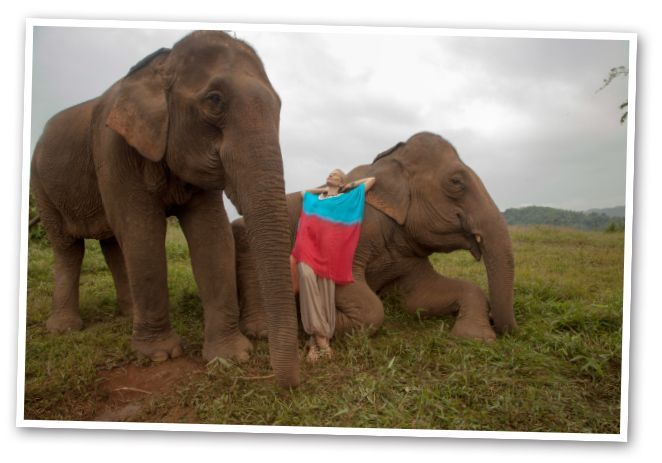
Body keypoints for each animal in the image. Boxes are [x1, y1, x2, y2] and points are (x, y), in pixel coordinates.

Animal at [30, 31, 300, 387]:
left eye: (279, 106)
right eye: (214, 100)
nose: (289, 384)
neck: (160, 65)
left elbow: (211, 235)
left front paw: (230, 357)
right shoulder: (113, 149)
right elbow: (142, 232)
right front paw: (160, 356)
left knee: (112, 244)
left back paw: (129, 316)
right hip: (41, 186)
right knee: (68, 248)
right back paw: (65, 329)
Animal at [232, 132, 516, 343]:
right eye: (456, 182)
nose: (497, 321)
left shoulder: (406, 251)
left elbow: (420, 298)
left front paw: (475, 338)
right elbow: (367, 304)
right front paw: (311, 323)